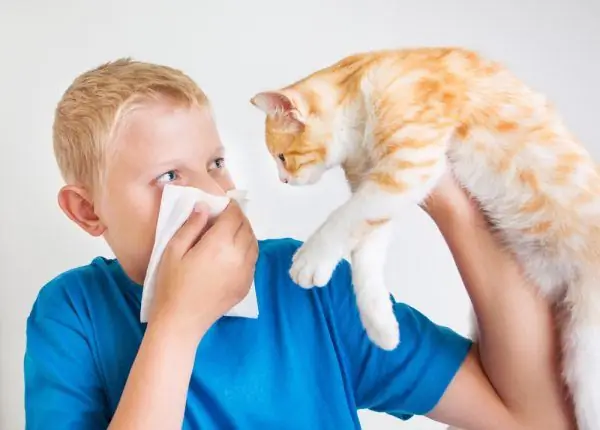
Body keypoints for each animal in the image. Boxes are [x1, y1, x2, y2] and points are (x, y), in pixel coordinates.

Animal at [250, 47, 600, 430]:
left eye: (283, 157)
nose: (283, 181)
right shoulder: (377, 190)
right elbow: (365, 254)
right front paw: (382, 327)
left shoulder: (408, 165)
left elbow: (344, 217)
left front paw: (311, 260)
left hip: (586, 347)